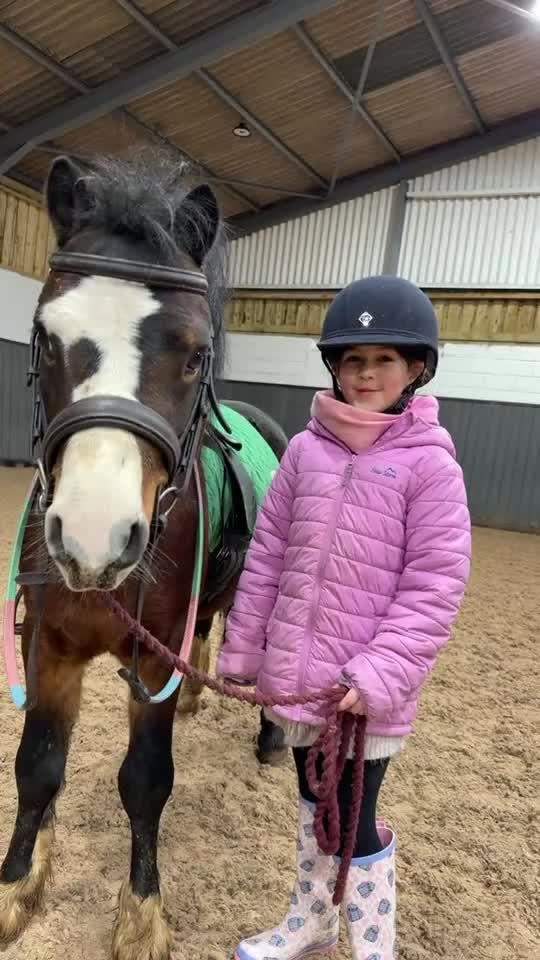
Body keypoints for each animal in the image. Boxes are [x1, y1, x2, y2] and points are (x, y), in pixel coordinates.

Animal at [0, 151, 287, 960]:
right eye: (43, 338)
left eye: (195, 355)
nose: (94, 537)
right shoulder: (47, 642)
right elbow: (37, 767)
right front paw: (18, 885)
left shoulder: (153, 657)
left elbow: (146, 781)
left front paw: (141, 914)